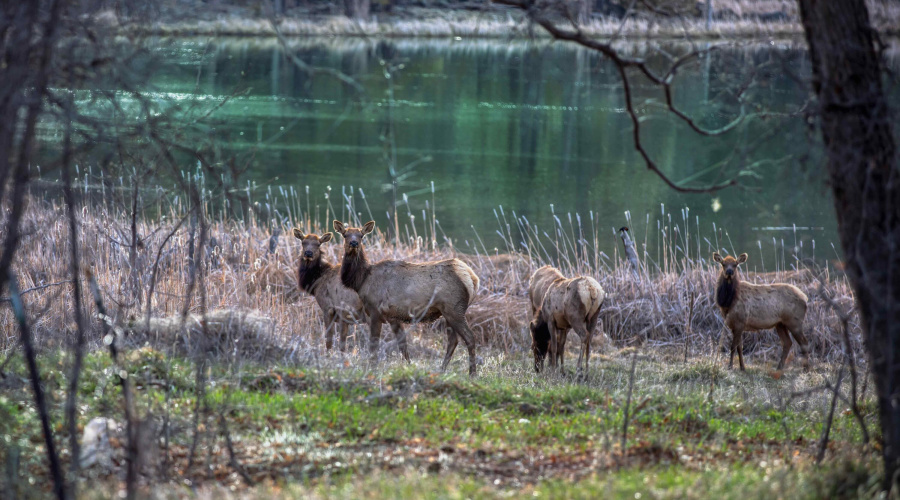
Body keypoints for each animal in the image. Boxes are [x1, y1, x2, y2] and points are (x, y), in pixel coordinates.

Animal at [332, 220, 486, 376]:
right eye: (345, 234)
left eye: (361, 235)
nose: (354, 243)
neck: (361, 280)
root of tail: (473, 278)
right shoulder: (392, 316)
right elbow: (403, 345)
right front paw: (409, 366)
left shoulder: (375, 310)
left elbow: (373, 345)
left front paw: (372, 369)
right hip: (448, 312)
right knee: (453, 340)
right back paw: (442, 370)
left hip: (455, 309)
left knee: (469, 337)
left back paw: (472, 373)